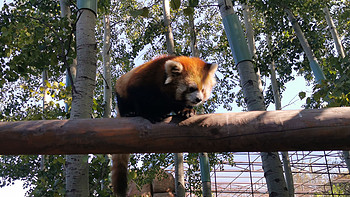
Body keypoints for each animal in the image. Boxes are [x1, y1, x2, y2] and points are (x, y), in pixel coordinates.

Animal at [112, 54, 217, 196]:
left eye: (203, 89)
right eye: (192, 88)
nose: (198, 99)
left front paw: (187, 110)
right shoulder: (143, 81)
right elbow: (139, 99)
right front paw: (150, 114)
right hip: (121, 89)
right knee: (124, 102)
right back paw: (129, 113)